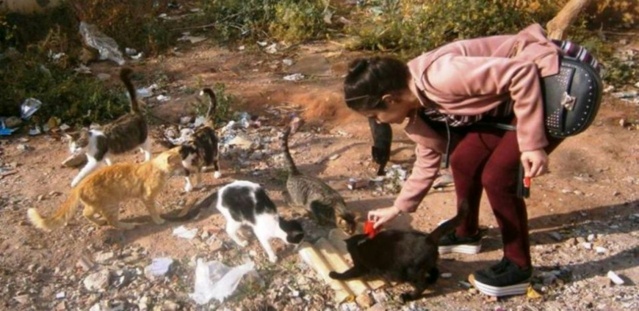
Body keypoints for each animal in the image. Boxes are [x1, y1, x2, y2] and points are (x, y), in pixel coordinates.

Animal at [28, 147, 186, 232]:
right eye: (179, 165)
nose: (187, 170)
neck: (157, 168)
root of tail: (80, 184)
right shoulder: (147, 196)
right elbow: (152, 210)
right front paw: (158, 220)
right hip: (112, 203)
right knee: (112, 221)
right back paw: (128, 226)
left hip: (98, 204)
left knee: (87, 213)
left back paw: (99, 221)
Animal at [330, 201, 470, 304]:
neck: (361, 241)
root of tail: (428, 238)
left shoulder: (360, 266)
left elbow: (348, 273)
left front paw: (334, 274)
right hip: (427, 265)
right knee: (435, 271)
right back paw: (431, 280)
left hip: (411, 272)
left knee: (421, 285)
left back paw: (408, 297)